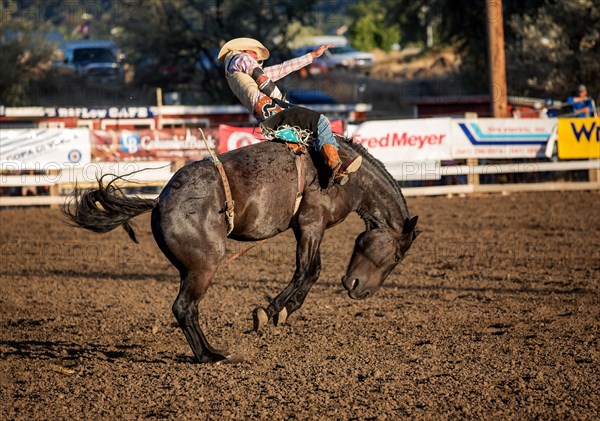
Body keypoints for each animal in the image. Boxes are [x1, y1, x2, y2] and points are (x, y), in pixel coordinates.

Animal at [63, 137, 420, 360]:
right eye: (397, 256)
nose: (361, 291)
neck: (346, 173)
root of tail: (159, 202)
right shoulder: (310, 223)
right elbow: (309, 270)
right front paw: (271, 312)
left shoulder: (307, 228)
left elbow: (310, 271)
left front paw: (283, 310)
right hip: (204, 266)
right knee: (184, 308)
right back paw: (210, 355)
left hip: (189, 269)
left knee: (186, 309)